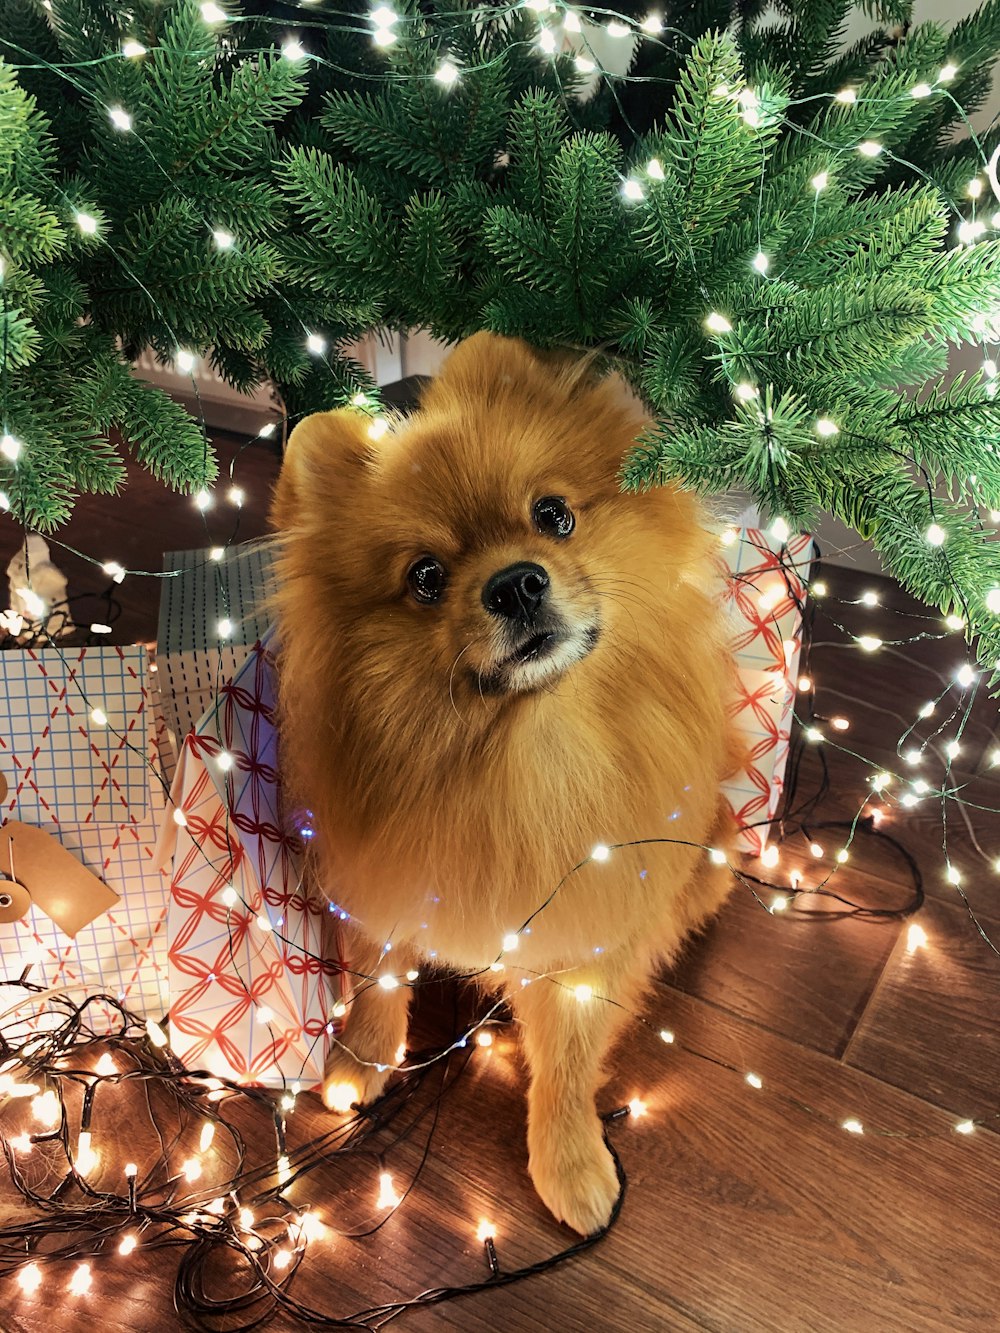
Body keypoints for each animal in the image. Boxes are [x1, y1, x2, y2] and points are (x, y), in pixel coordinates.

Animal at [270, 335, 741, 1237]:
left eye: (553, 514)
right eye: (425, 576)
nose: (516, 581)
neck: (521, 757)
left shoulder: (586, 934)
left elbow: (567, 1062)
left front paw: (570, 1162)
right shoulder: (382, 885)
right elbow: (380, 985)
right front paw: (360, 1061)